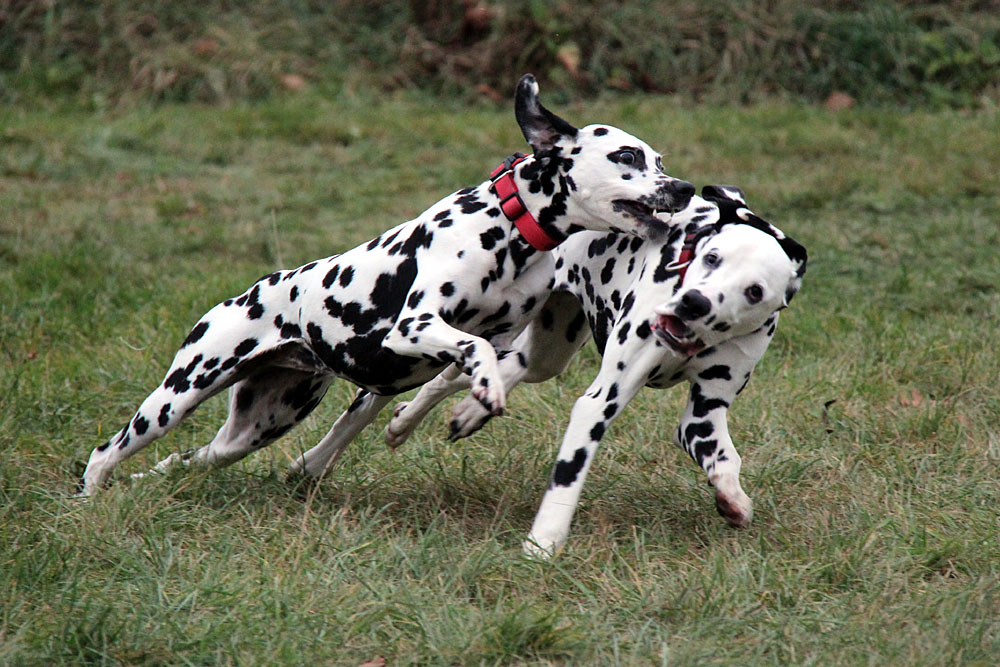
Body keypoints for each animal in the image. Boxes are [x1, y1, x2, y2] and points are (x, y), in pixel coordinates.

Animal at [78, 75, 696, 498]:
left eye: (659, 159)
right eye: (626, 156)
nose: (686, 188)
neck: (509, 228)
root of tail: (247, 295)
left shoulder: (493, 343)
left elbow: (464, 367)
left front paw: (455, 408)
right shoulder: (416, 325)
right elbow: (469, 348)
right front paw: (484, 395)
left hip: (256, 428)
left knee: (187, 461)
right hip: (176, 397)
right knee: (106, 451)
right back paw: (89, 499)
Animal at [382, 185, 804, 556]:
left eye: (754, 291)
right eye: (713, 258)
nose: (694, 303)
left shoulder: (703, 418)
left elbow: (727, 460)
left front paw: (733, 498)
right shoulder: (598, 405)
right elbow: (567, 480)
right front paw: (544, 543)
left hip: (547, 356)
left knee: (507, 368)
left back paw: (469, 411)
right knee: (451, 374)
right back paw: (406, 421)